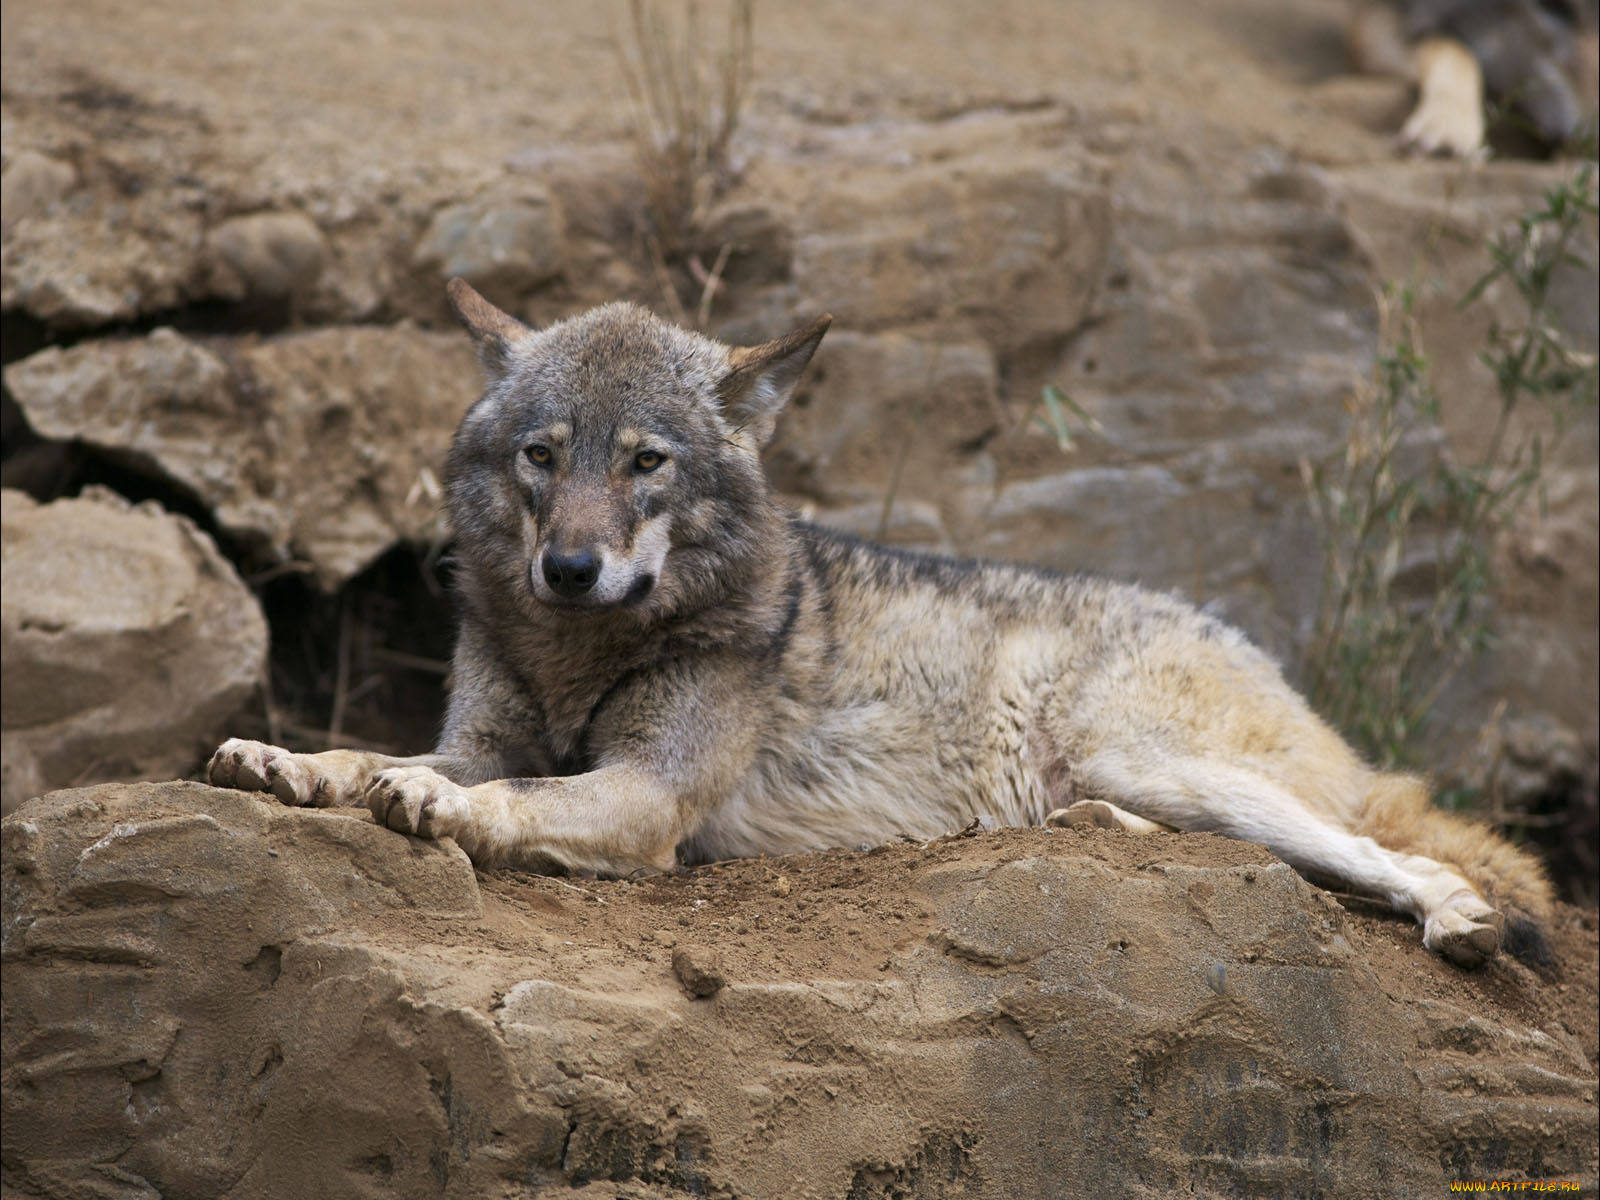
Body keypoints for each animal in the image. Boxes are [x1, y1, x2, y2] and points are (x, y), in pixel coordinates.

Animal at [206, 280, 1555, 966]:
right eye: (542, 455)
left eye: (644, 461)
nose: (571, 567)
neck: (578, 651)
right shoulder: (484, 733)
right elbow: (367, 753)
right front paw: (281, 760)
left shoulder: (647, 794)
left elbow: (507, 796)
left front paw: (430, 807)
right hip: (1137, 779)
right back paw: (1090, 835)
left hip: (1151, 754)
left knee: (1389, 853)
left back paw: (1457, 920)